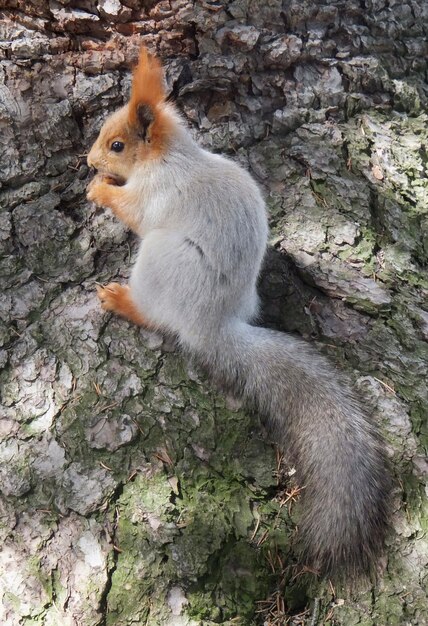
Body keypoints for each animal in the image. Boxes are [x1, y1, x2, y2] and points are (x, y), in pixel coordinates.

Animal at [87, 46, 392, 576]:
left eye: (118, 144)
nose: (88, 160)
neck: (169, 158)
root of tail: (215, 324)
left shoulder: (155, 193)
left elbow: (132, 211)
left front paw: (99, 189)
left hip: (160, 264)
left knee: (156, 313)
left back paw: (121, 300)